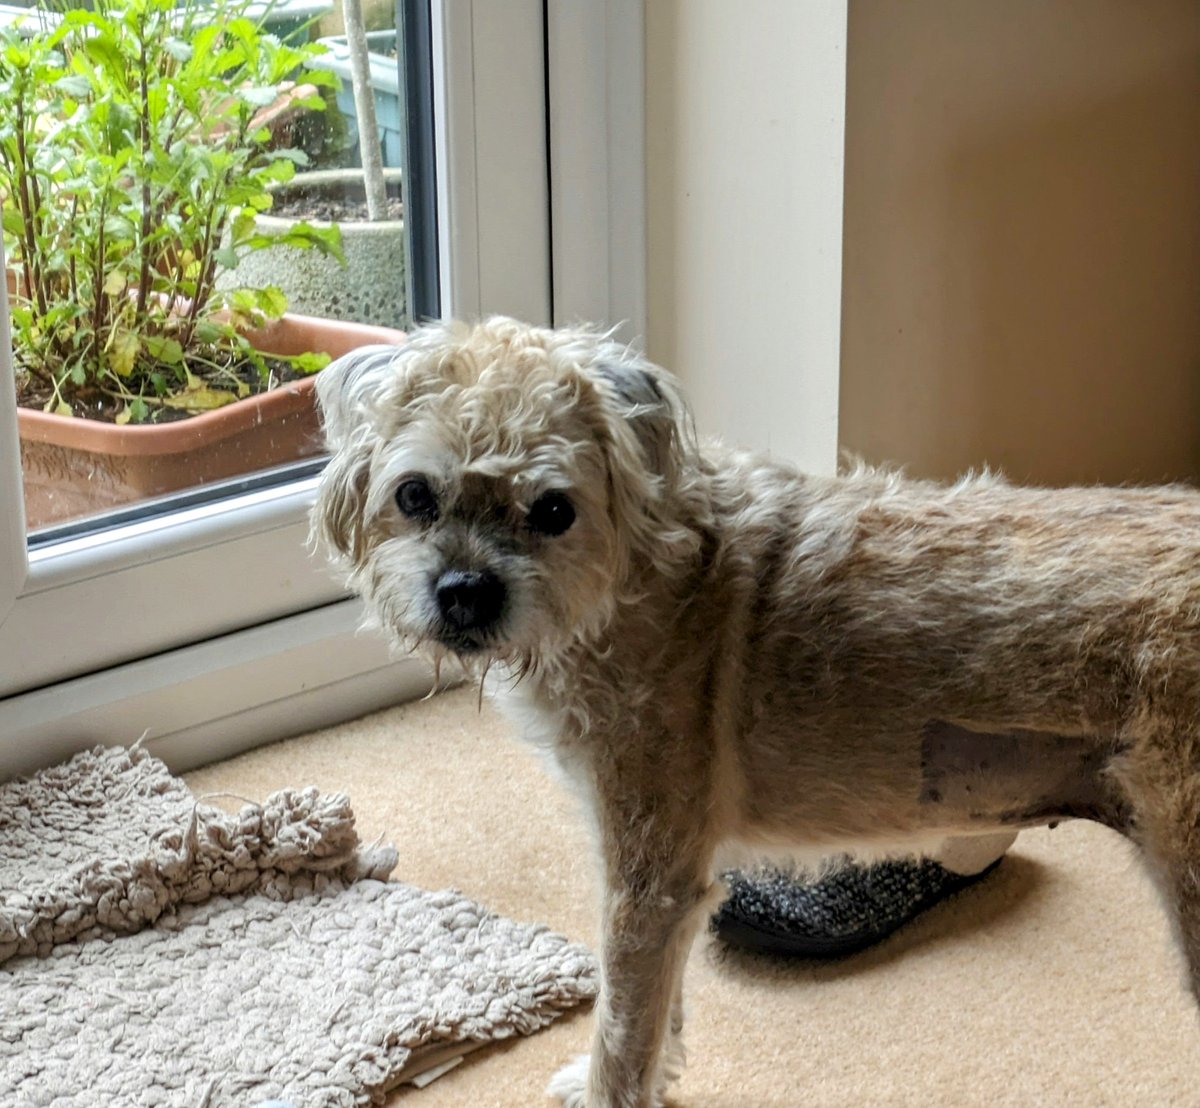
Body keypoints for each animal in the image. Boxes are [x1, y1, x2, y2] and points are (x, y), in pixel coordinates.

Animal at [314, 314, 1200, 1108]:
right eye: (415, 495)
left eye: (554, 511)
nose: (464, 592)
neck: (637, 580)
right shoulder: (672, 886)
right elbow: (662, 1014)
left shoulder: (646, 882)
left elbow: (623, 1028)